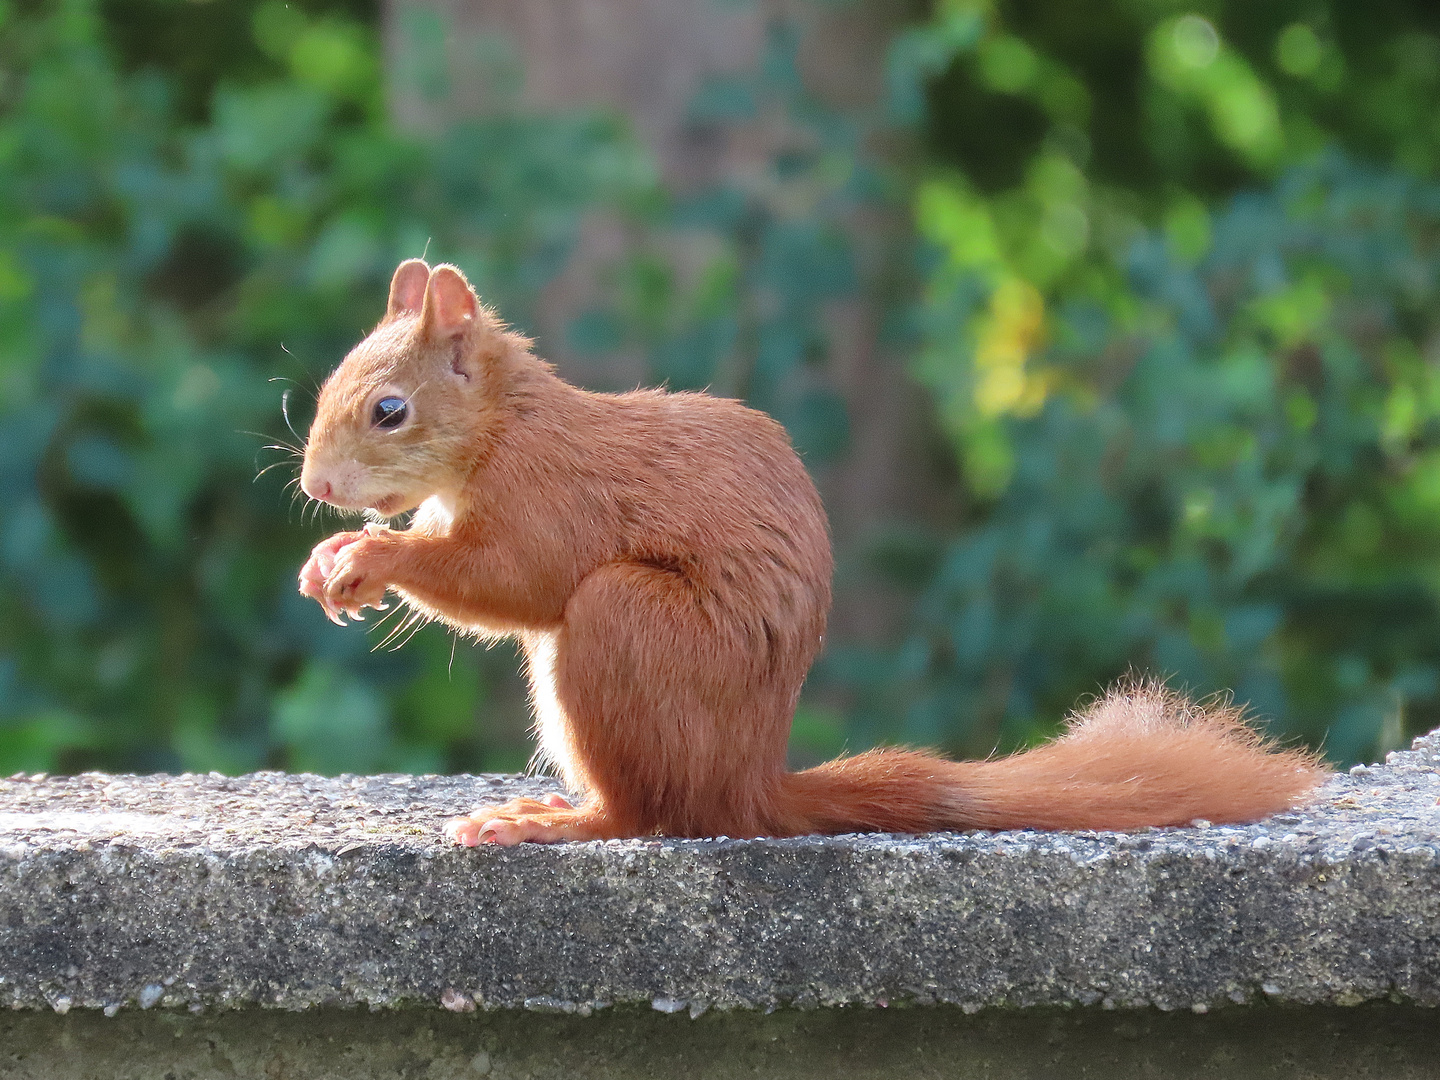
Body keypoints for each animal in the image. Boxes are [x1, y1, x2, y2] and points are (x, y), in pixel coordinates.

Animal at [295, 260, 1324, 846]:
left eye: (390, 410)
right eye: (328, 381)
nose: (318, 488)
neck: (505, 425)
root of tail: (752, 788)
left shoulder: (549, 495)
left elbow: (512, 578)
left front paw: (371, 560)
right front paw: (329, 559)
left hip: (626, 625)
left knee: (650, 815)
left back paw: (558, 825)